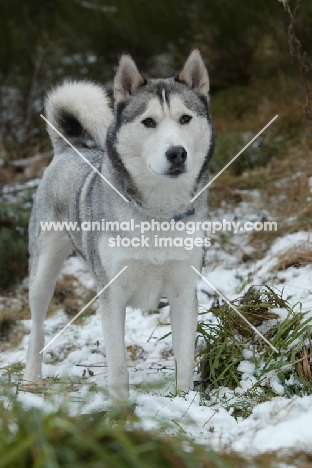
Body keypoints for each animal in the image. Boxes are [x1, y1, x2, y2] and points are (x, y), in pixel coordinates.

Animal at [23, 50, 214, 402]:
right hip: (42, 273)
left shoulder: (184, 292)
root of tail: (69, 148)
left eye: (185, 119)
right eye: (149, 122)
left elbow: (184, 357)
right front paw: (120, 408)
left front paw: (185, 404)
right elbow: (118, 366)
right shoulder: (112, 296)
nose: (176, 153)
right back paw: (29, 381)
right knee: (37, 329)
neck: (158, 213)